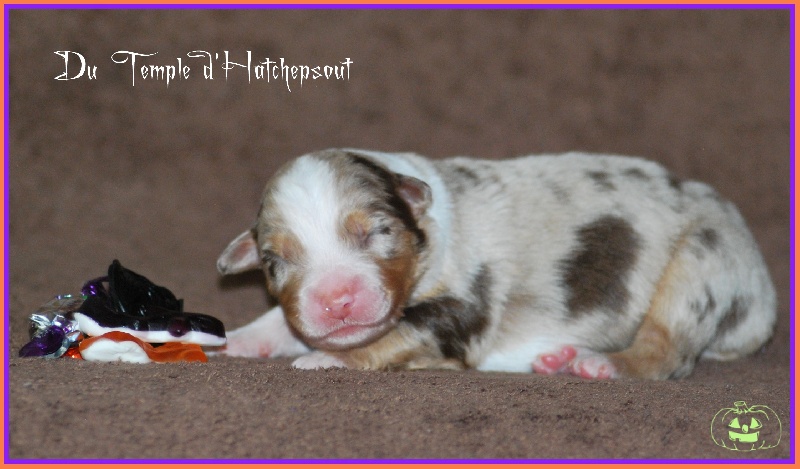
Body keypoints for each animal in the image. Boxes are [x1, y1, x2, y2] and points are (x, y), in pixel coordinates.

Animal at [214, 148, 776, 378]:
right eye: (273, 261)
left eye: (377, 232)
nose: (336, 300)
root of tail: (762, 305)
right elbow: (281, 320)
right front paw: (238, 340)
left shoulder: (462, 310)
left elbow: (397, 334)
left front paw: (328, 359)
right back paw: (554, 359)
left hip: (705, 262)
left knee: (668, 351)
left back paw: (601, 364)